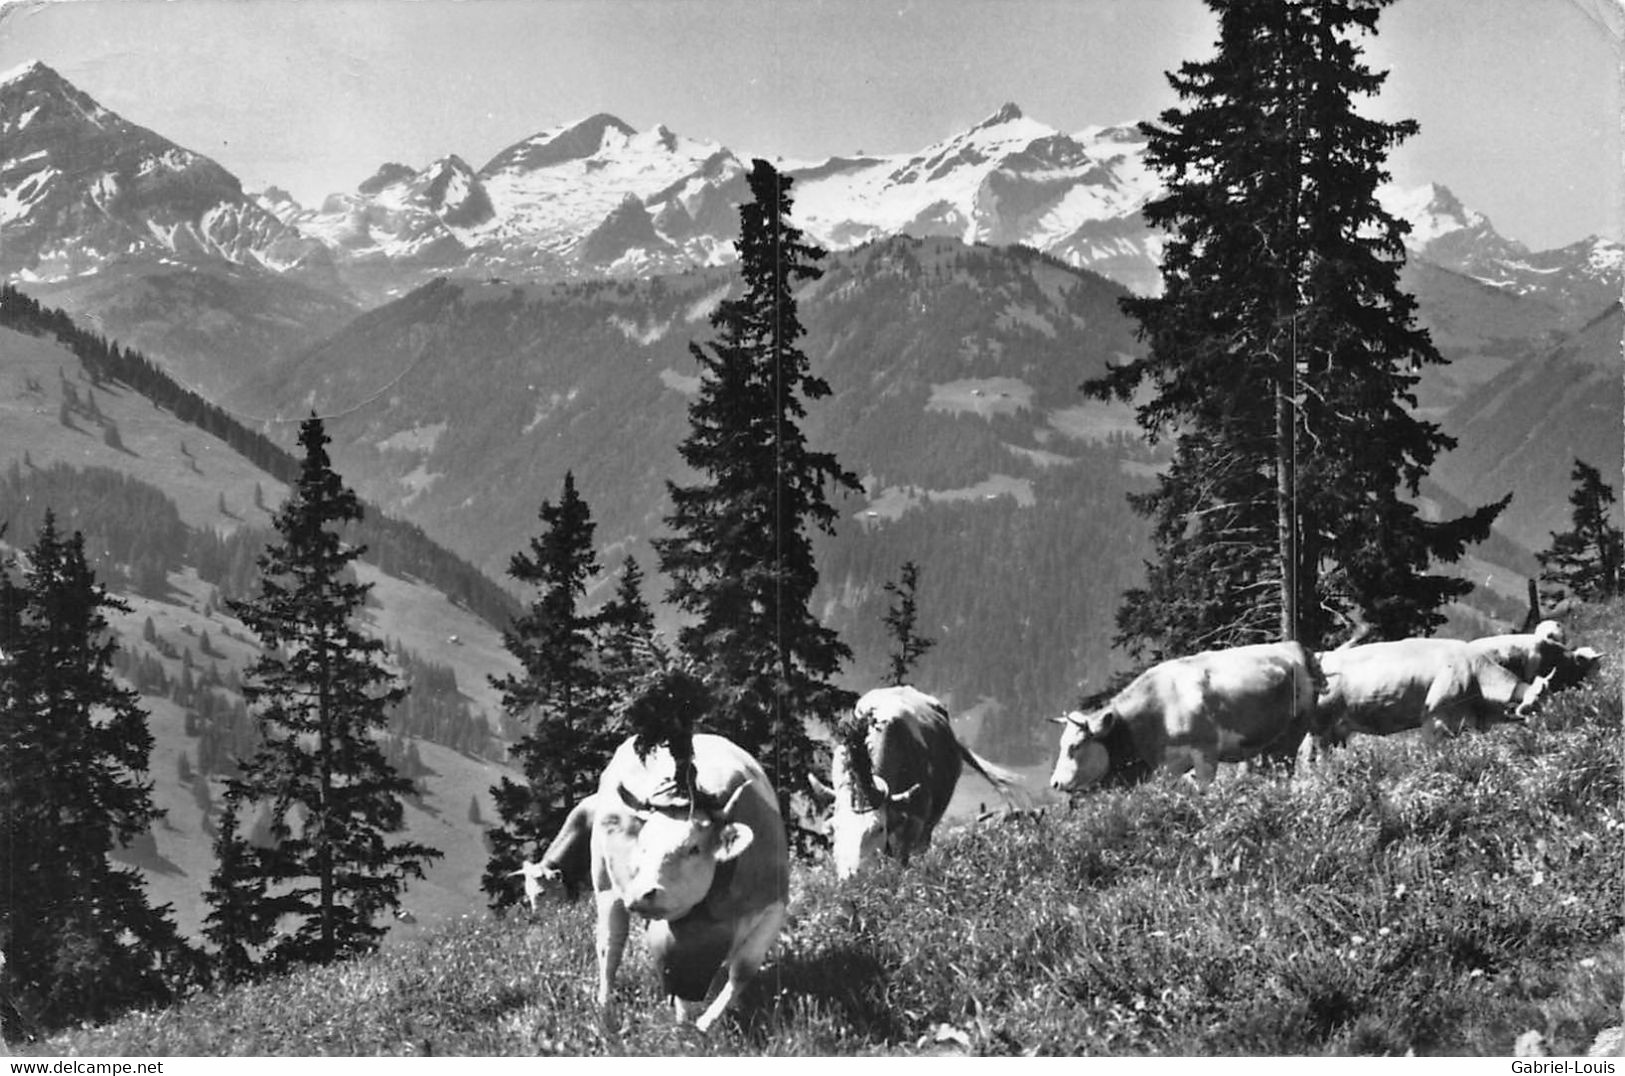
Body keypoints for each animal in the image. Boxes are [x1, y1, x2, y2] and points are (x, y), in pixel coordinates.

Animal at [1053, 640, 1319, 793]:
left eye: (1075, 746)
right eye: (1062, 744)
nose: (1054, 783)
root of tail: (1292, 646)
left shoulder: (1205, 753)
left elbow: (1203, 791)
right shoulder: (1167, 767)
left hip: (1296, 729)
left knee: (1287, 768)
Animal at [1306, 633, 1547, 750]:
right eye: (1535, 705)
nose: (1545, 730)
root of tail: (1321, 657)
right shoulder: (1437, 720)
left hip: (1336, 730)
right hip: (1321, 726)